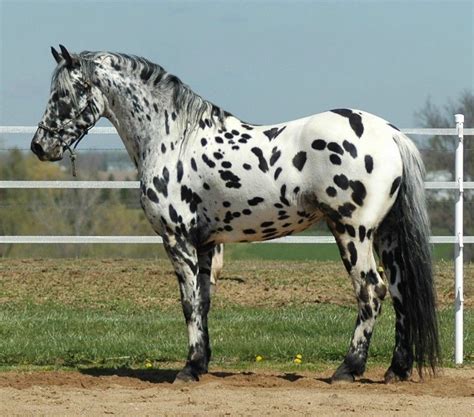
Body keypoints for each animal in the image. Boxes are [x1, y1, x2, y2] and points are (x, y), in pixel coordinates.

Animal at [29, 45, 438, 384]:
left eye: (62, 95)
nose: (39, 146)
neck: (173, 139)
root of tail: (389, 134)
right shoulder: (206, 243)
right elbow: (204, 300)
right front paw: (201, 363)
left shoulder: (177, 239)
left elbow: (189, 302)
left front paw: (188, 369)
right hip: (385, 235)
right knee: (399, 291)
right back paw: (396, 370)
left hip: (352, 232)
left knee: (371, 290)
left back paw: (347, 370)